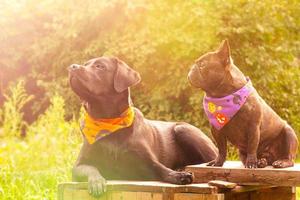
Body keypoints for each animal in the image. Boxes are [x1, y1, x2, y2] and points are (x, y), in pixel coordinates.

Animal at [69, 55, 217, 197]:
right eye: (86, 64)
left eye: (100, 66)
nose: (72, 67)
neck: (109, 121)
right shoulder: (78, 165)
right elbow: (91, 169)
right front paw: (97, 182)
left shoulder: (146, 160)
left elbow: (161, 169)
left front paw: (178, 175)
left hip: (183, 129)